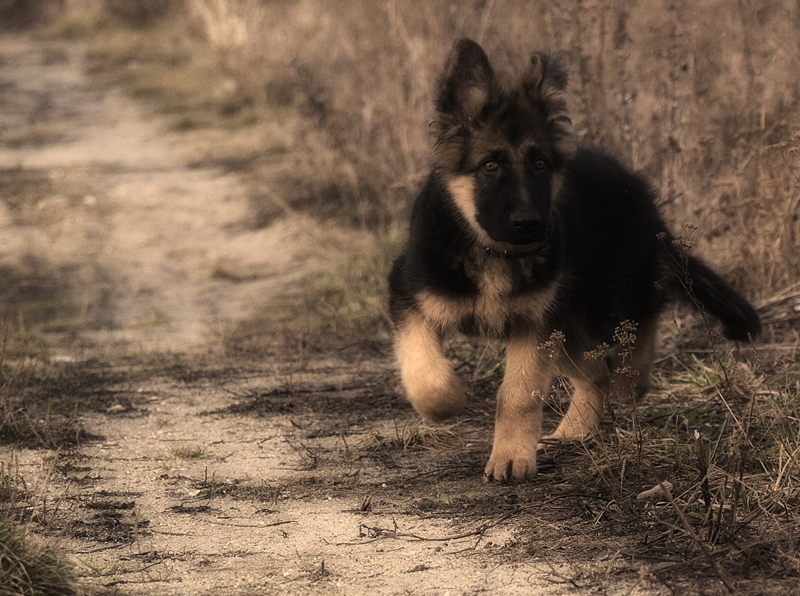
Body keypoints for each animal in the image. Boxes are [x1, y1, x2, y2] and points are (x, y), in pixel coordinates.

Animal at [388, 39, 761, 482]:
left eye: (540, 164)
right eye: (490, 166)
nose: (530, 224)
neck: (492, 250)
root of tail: (638, 191)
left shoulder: (534, 325)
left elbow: (518, 394)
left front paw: (511, 456)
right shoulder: (408, 297)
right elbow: (423, 371)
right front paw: (448, 403)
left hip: (608, 302)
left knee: (636, 334)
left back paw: (631, 380)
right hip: (567, 330)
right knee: (595, 375)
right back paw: (574, 431)